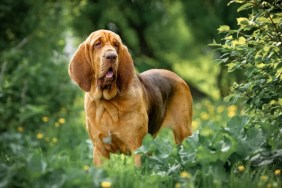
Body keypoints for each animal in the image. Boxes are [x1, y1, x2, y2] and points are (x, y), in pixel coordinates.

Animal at [69, 29, 192, 166]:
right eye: (97, 44)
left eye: (116, 44)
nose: (112, 56)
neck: (107, 103)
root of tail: (177, 77)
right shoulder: (99, 149)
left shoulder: (137, 147)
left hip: (183, 133)